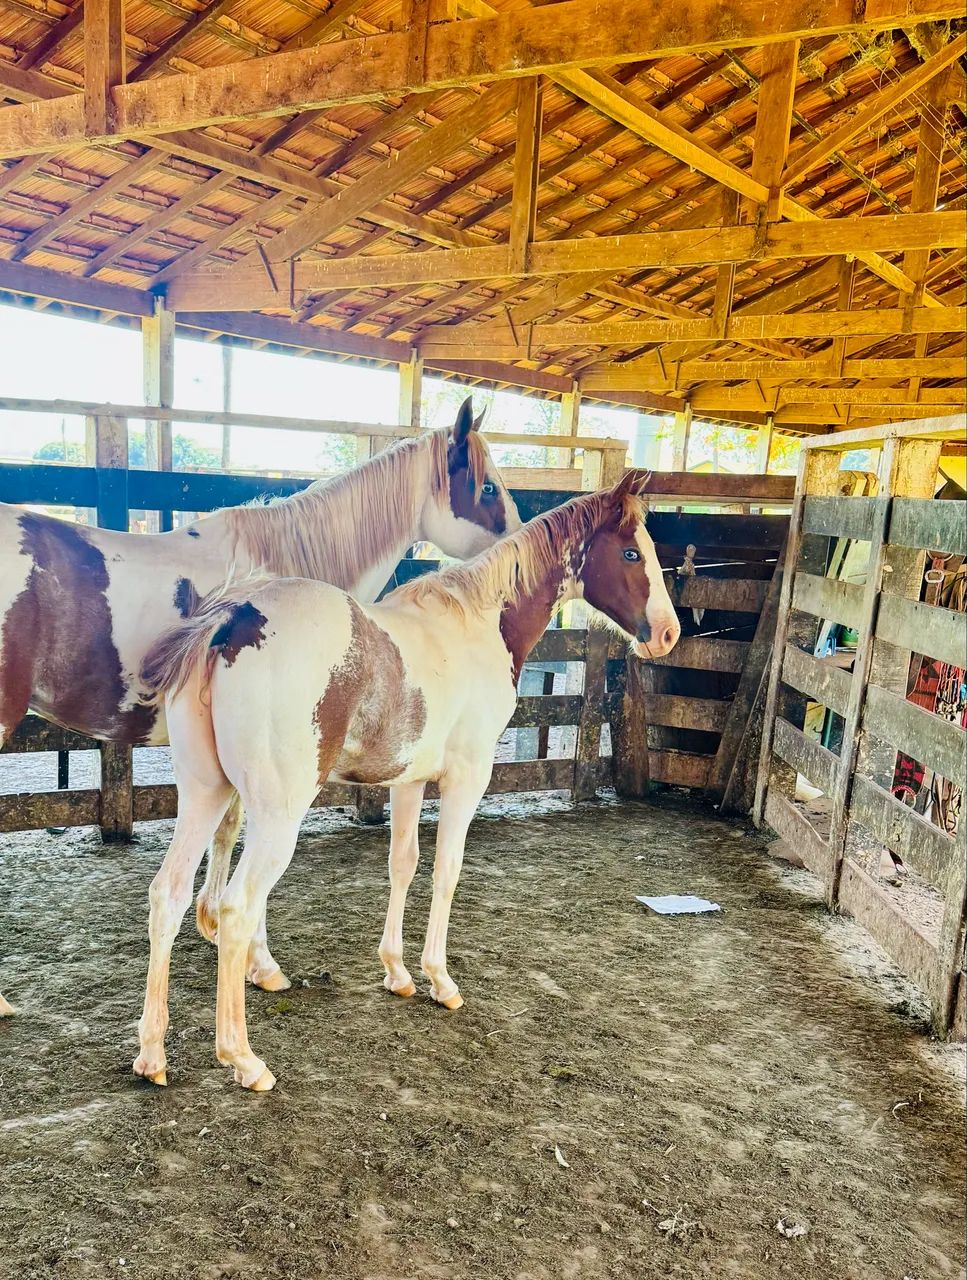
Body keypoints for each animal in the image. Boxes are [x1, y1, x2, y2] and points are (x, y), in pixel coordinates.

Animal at [136, 469, 680, 1090]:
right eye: (632, 552)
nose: (668, 633)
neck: (478, 624)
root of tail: (234, 619)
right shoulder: (468, 777)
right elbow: (446, 870)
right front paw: (440, 979)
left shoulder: (409, 782)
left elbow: (403, 864)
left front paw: (397, 972)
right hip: (276, 815)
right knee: (235, 910)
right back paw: (244, 1058)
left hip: (204, 795)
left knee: (169, 895)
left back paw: (152, 1055)